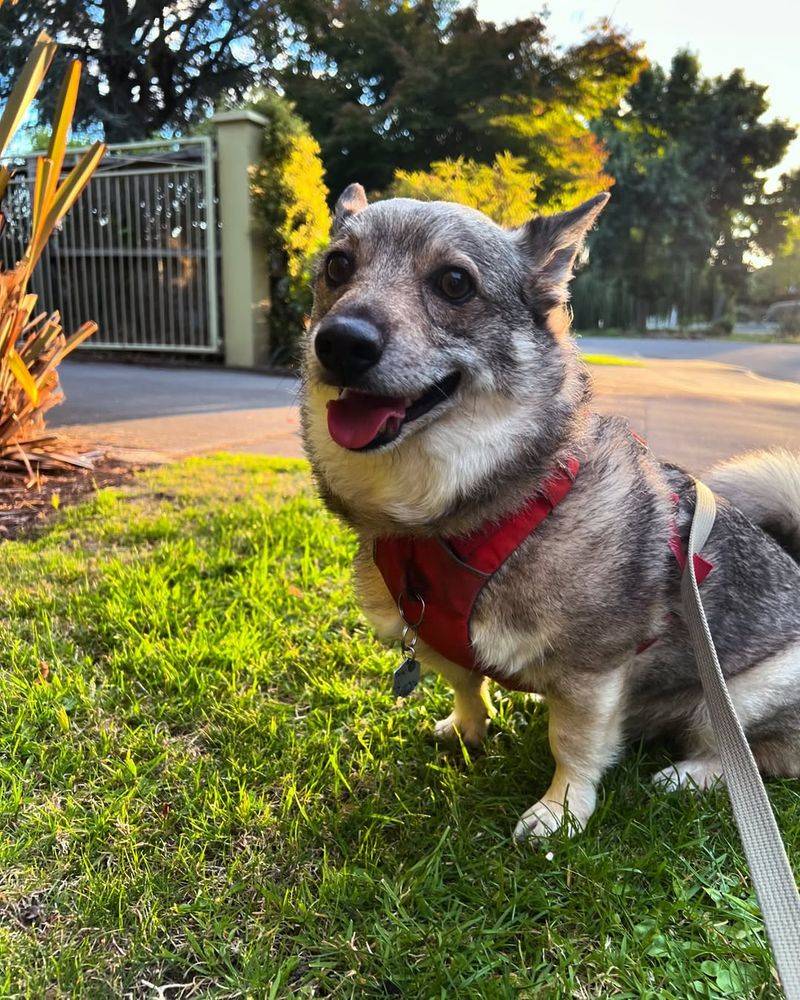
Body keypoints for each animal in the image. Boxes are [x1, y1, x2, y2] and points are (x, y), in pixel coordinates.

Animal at [298, 184, 800, 840]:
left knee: (754, 757)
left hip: (741, 697)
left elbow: (573, 742)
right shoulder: (434, 638)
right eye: (337, 267)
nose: (339, 342)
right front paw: (468, 729)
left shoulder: (593, 672)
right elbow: (465, 682)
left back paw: (688, 776)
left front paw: (560, 810)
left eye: (454, 282)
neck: (459, 520)